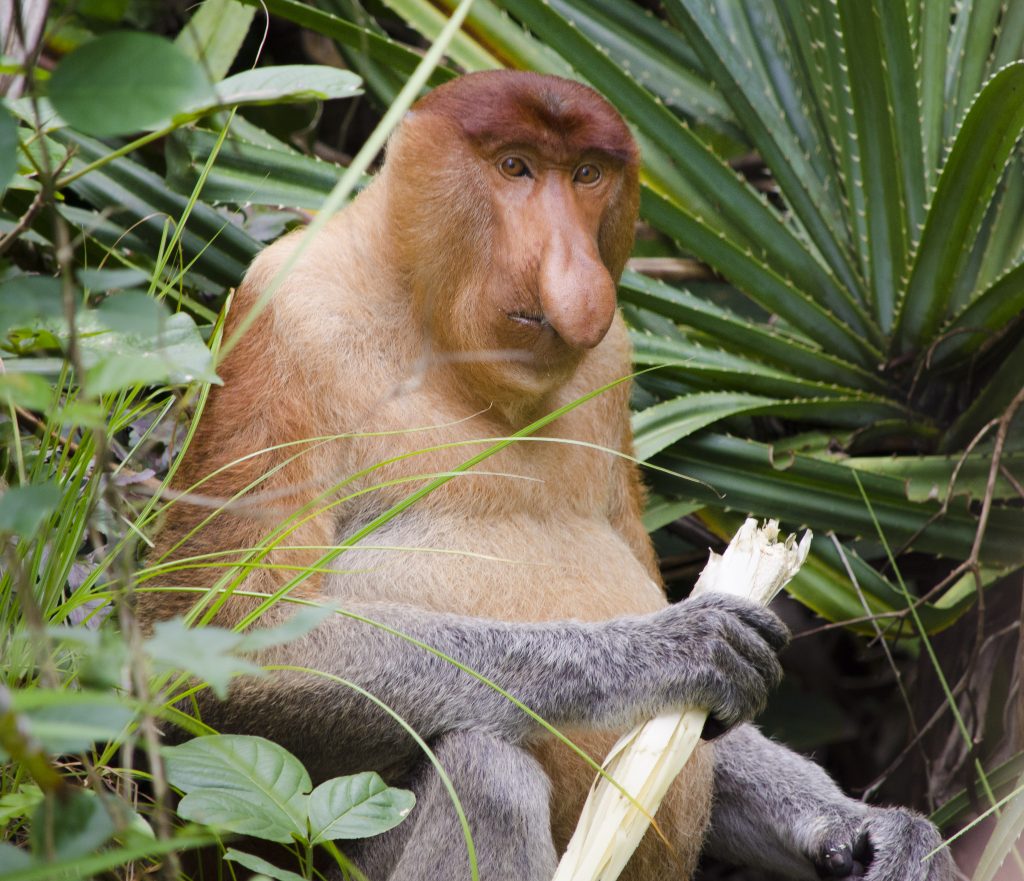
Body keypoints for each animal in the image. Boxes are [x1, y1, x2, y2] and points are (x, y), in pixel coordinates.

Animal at [142, 70, 950, 881]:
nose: (574, 277)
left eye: (587, 174)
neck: (433, 327)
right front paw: (672, 652)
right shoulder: (289, 320)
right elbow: (217, 644)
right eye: (515, 167)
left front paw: (887, 834)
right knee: (485, 773)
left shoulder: (613, 361)